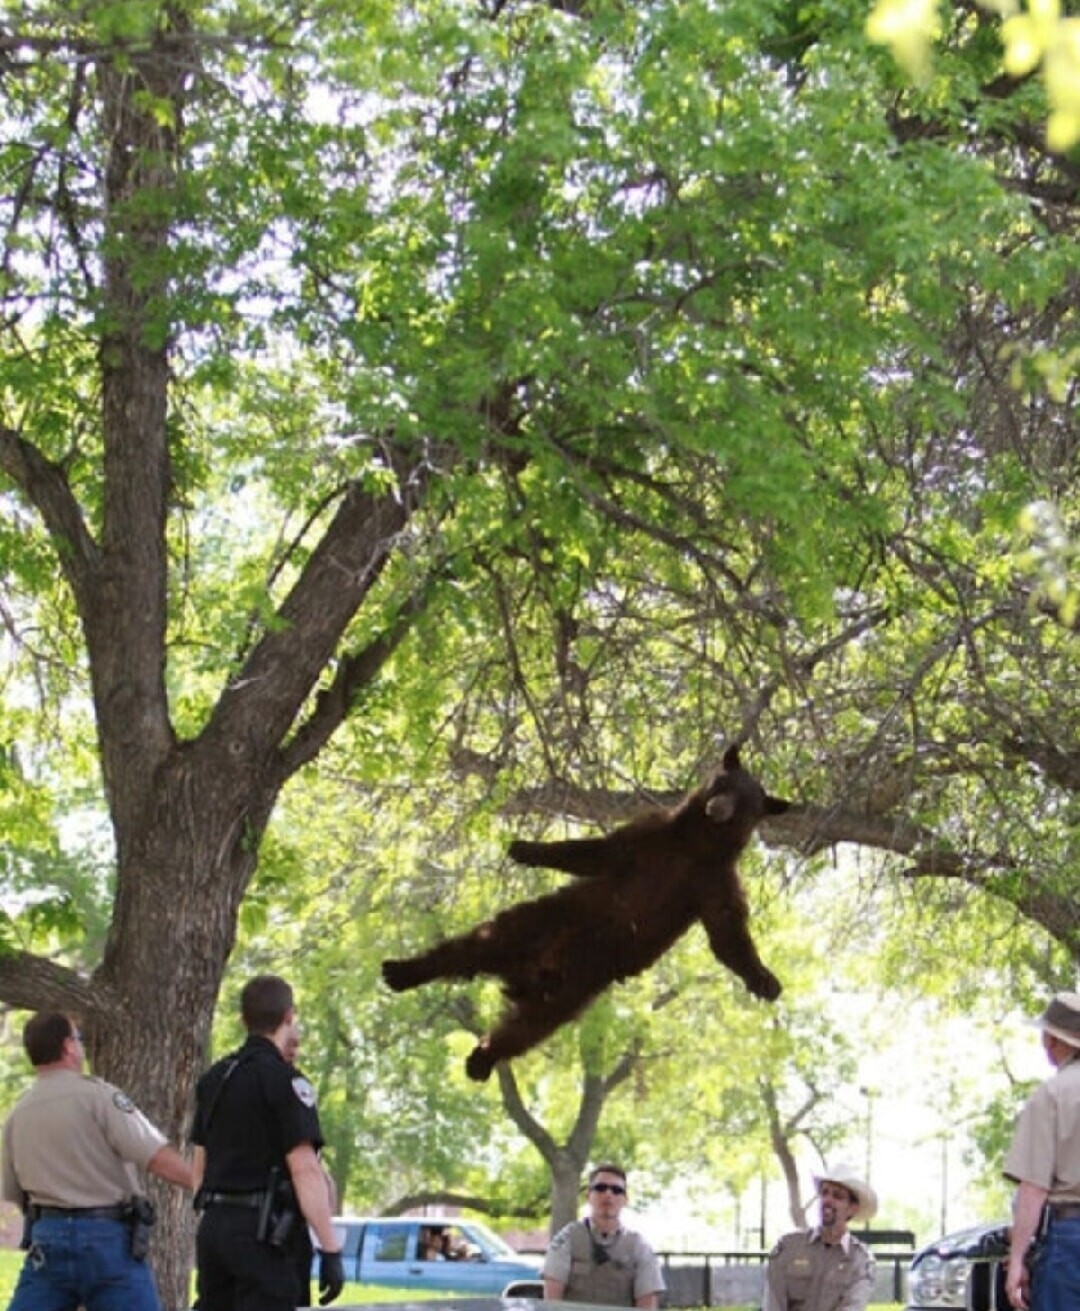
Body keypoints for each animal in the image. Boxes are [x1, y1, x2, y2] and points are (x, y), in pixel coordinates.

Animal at [382, 744, 786, 1080]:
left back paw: (482, 1059)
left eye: (746, 803)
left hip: (576, 987)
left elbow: (727, 931)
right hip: (542, 922)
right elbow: (597, 852)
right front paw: (525, 848)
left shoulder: (713, 880)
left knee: (527, 1029)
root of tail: (528, 975)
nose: (718, 807)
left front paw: (765, 980)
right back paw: (404, 970)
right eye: (723, 783)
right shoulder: (652, 837)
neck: (696, 844)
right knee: (470, 947)